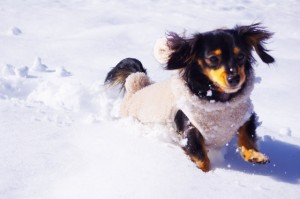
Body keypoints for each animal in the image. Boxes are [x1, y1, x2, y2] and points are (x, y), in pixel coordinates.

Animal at [103, 23, 274, 172]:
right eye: (213, 59)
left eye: (241, 56)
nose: (235, 79)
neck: (219, 102)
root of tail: (138, 87)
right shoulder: (189, 129)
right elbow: (201, 158)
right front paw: (206, 174)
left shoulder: (245, 115)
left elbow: (247, 135)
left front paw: (254, 155)